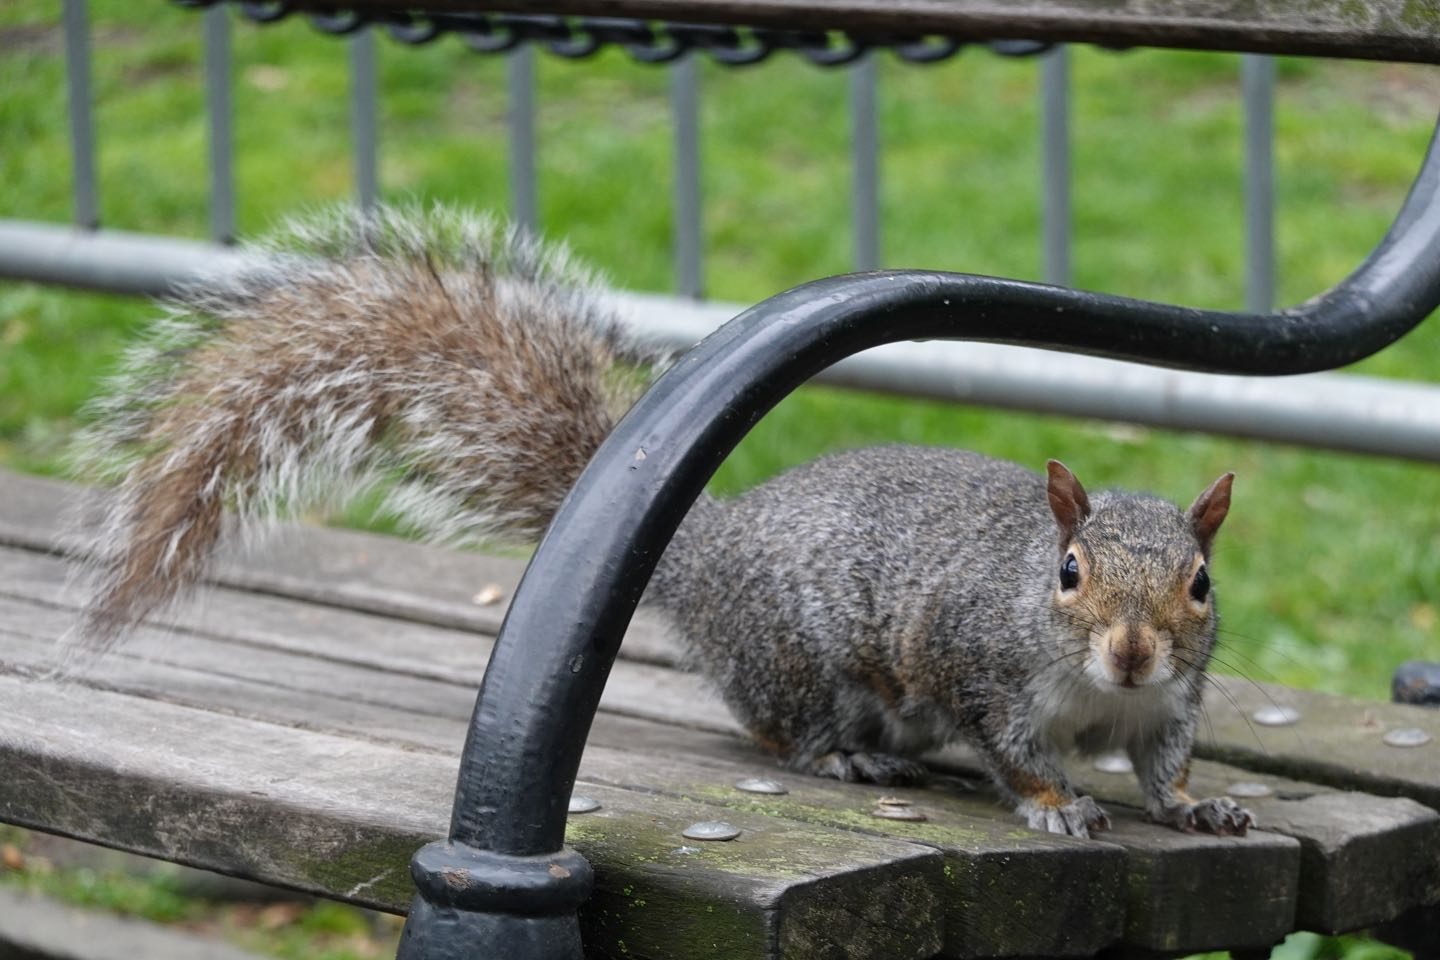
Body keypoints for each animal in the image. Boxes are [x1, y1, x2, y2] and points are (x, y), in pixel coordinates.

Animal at [67, 204, 1249, 840]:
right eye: (1067, 573)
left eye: (1199, 583)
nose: (1133, 651)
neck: (1101, 698)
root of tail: (704, 550)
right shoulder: (981, 671)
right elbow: (1016, 753)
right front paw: (1056, 802)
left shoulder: (1169, 705)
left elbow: (1166, 765)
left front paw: (1197, 807)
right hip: (804, 660)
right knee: (778, 726)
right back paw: (850, 761)